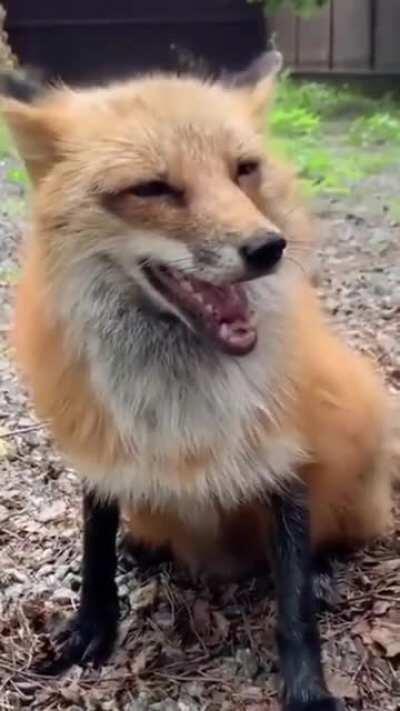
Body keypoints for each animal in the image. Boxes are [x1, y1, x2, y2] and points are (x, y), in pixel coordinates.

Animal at [2, 53, 398, 711]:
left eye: (244, 171)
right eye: (152, 189)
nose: (268, 247)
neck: (182, 403)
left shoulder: (284, 453)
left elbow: (293, 606)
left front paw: (308, 691)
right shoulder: (100, 440)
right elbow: (94, 542)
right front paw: (93, 624)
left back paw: (325, 568)